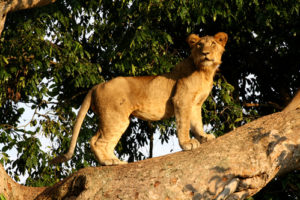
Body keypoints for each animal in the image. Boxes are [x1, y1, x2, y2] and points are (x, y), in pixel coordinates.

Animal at [51, 31, 227, 166]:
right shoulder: (181, 100)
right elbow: (184, 124)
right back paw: (108, 162)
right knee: (95, 141)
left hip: (116, 120)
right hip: (115, 118)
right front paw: (187, 144)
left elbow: (197, 123)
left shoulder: (196, 104)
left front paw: (204, 137)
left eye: (213, 44)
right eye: (199, 45)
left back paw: (115, 161)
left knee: (102, 141)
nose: (205, 53)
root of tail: (97, 85)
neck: (205, 72)